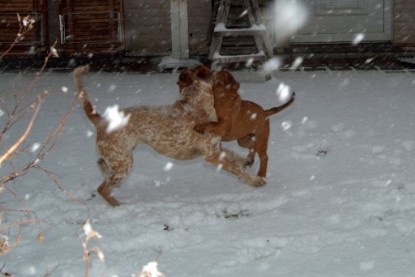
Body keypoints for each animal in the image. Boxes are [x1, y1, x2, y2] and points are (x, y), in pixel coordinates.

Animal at [73, 66, 264, 206]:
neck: (196, 104)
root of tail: (101, 120)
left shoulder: (217, 149)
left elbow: (236, 157)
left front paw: (247, 162)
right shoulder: (211, 155)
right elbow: (236, 168)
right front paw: (255, 181)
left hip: (120, 156)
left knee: (101, 163)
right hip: (124, 163)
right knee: (102, 188)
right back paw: (118, 206)